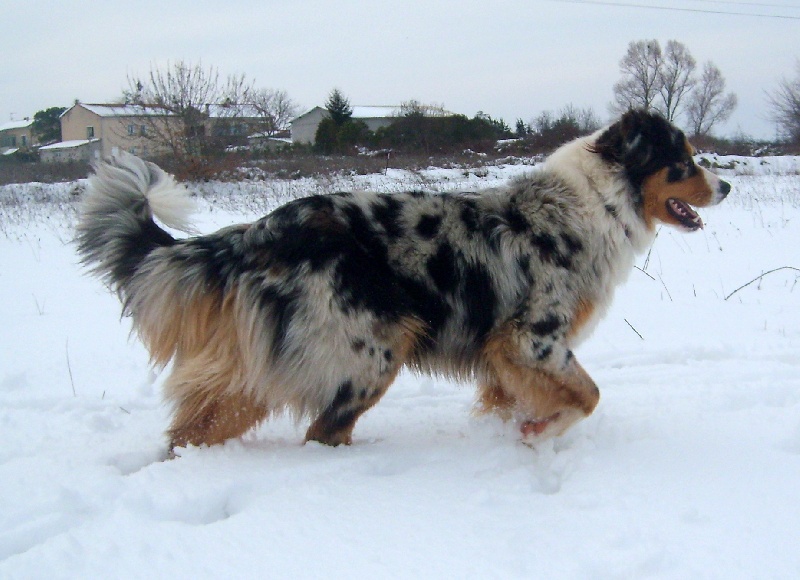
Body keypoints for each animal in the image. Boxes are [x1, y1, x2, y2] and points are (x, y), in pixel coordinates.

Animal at [76, 109, 730, 453]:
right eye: (684, 162)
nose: (726, 185)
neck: (597, 202)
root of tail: (261, 230)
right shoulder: (530, 337)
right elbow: (588, 397)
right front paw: (538, 432)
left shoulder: (504, 356)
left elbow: (523, 401)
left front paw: (519, 436)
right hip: (371, 350)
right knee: (321, 429)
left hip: (264, 363)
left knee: (198, 425)